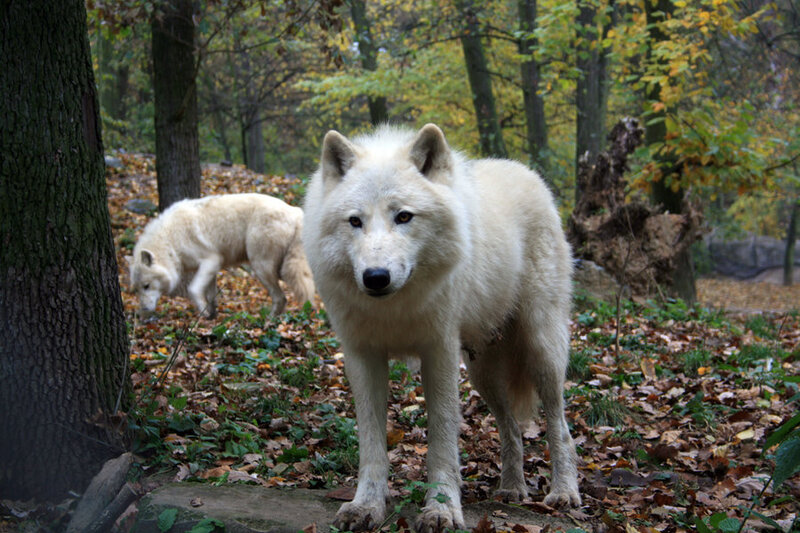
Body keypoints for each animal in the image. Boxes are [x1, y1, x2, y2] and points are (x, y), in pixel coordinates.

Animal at [129, 193, 315, 319]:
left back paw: (269, 322)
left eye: (146, 286)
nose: (143, 310)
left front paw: (204, 314)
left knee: (281, 297)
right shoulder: (212, 268)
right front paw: (212, 315)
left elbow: (193, 289)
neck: (170, 240)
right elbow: (210, 295)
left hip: (263, 267)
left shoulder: (210, 261)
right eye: (136, 289)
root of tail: (296, 212)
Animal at [302, 124, 581, 532]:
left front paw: (441, 510)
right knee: (512, 428)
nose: (375, 277)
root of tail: (528, 173)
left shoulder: (439, 352)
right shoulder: (362, 356)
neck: (395, 309)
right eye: (355, 221)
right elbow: (371, 443)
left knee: (559, 427)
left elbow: (443, 441)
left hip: (542, 351)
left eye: (404, 217)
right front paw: (366, 506)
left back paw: (564, 493)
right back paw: (512, 489)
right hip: (482, 373)